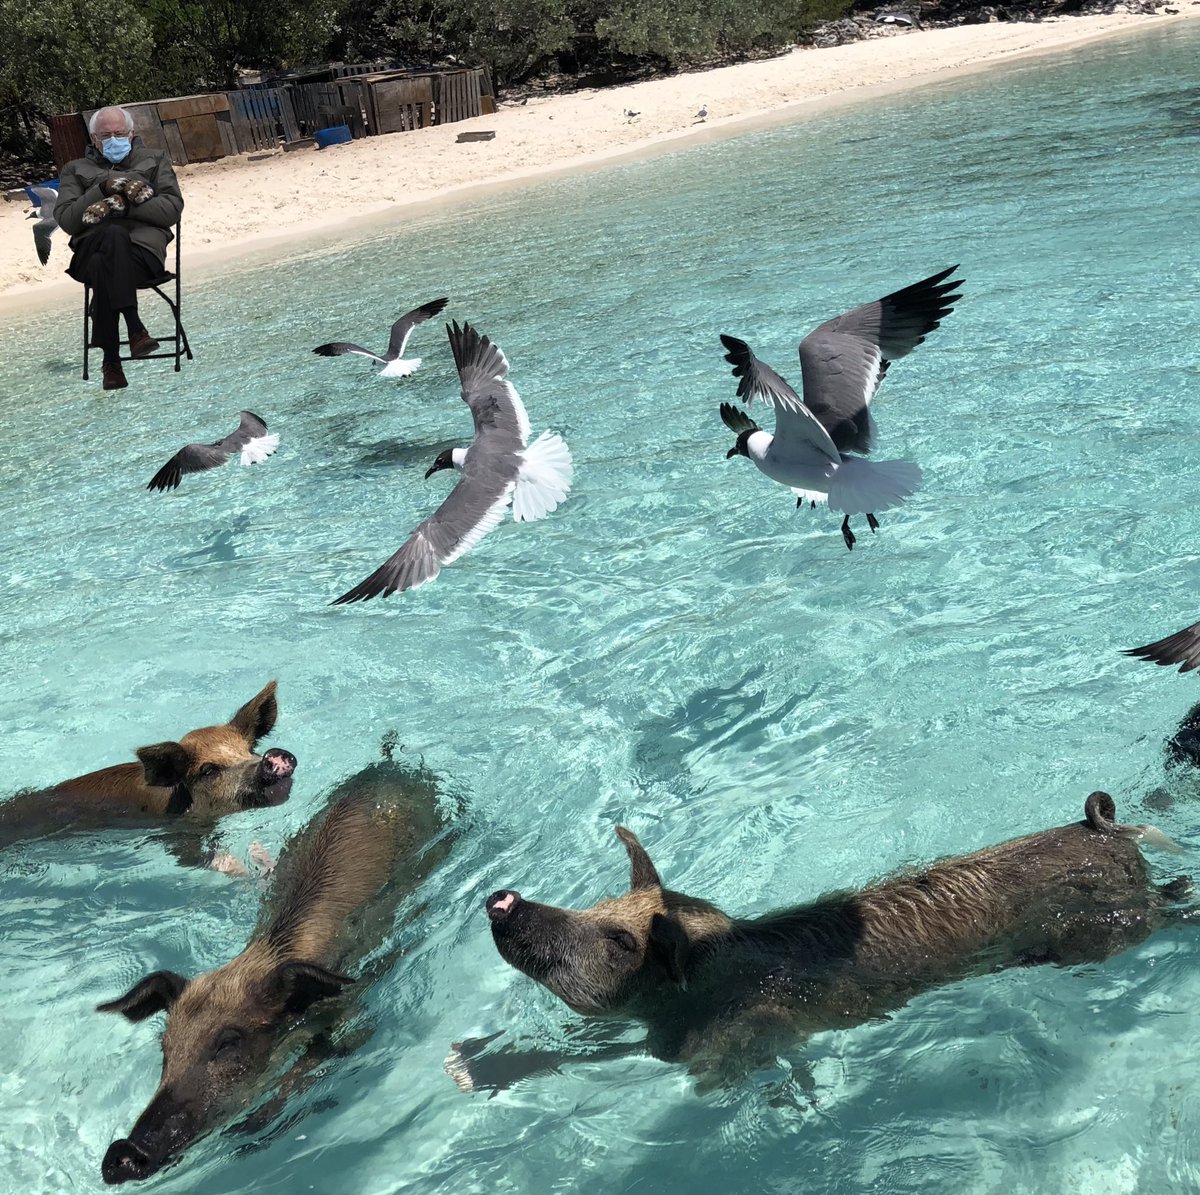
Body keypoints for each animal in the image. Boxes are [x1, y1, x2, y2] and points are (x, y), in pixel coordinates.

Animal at [95, 749, 453, 1184]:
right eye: (165, 1049)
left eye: (228, 1042)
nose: (121, 1155)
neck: (267, 954)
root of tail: (386, 764)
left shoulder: (352, 999)